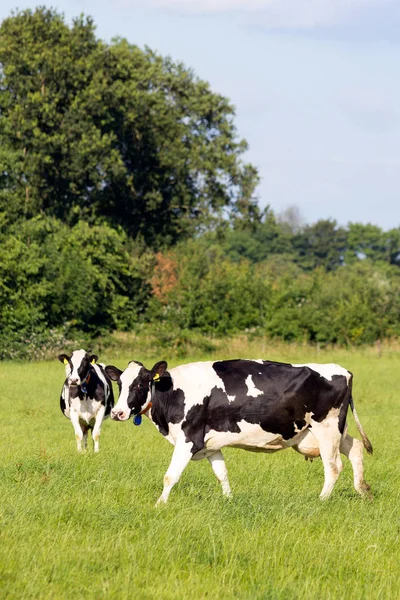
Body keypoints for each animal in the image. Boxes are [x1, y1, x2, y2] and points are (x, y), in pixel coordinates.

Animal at [104, 358, 374, 504]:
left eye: (140, 384)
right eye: (120, 384)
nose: (117, 413)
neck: (173, 392)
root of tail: (343, 371)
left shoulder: (189, 439)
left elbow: (170, 476)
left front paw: (159, 504)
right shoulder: (210, 444)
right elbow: (222, 474)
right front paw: (228, 500)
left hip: (326, 429)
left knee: (333, 467)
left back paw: (322, 499)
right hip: (335, 431)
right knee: (355, 448)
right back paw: (363, 490)